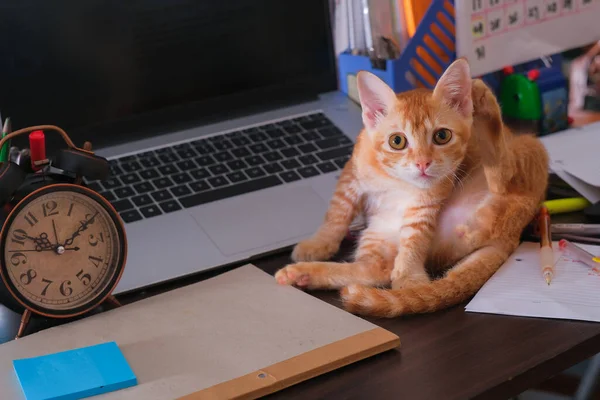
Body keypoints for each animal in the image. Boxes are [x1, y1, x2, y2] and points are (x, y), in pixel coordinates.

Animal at [276, 58, 548, 316]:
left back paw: (485, 104)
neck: (397, 181)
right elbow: (337, 214)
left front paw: (409, 278)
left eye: (442, 136)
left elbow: (415, 239)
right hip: (379, 233)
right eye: (397, 141)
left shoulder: (427, 201)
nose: (422, 163)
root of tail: (510, 236)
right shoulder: (352, 174)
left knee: (504, 175)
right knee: (373, 269)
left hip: (529, 153)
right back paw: (304, 274)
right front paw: (318, 244)